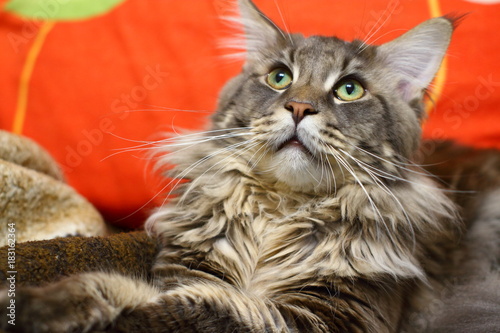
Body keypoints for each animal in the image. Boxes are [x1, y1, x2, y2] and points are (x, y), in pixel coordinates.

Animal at [0, 0, 476, 332]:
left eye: (349, 89)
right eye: (279, 78)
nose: (299, 107)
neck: (279, 211)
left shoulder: (330, 314)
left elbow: (188, 309)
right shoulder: (190, 268)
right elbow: (125, 287)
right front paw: (42, 304)